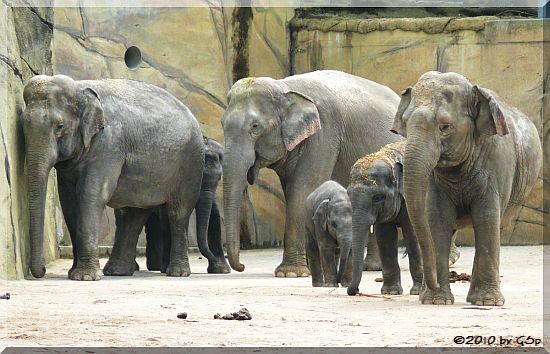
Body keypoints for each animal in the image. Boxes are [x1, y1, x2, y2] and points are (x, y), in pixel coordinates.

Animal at [21, 74, 207, 280]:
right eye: (22, 125)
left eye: (60, 126)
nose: (42, 271)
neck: (80, 88)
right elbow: (69, 201)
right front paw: (74, 273)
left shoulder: (108, 144)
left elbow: (90, 195)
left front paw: (85, 277)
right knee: (132, 214)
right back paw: (117, 271)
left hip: (191, 161)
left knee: (178, 212)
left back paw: (177, 273)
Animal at [223, 70, 402, 278]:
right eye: (222, 124)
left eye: (255, 126)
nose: (242, 266)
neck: (283, 87)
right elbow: (293, 191)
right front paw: (310, 267)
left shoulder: (324, 133)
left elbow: (302, 189)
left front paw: (290, 274)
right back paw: (370, 267)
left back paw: (371, 267)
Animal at [348, 141, 424, 296]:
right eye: (349, 195)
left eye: (377, 197)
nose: (356, 290)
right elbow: (385, 237)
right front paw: (391, 292)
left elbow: (413, 235)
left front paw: (417, 292)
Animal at [394, 71, 544, 304]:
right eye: (406, 124)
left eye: (445, 127)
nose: (432, 283)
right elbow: (437, 216)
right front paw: (436, 301)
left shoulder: (498, 161)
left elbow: (486, 215)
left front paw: (487, 302)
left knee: (495, 226)